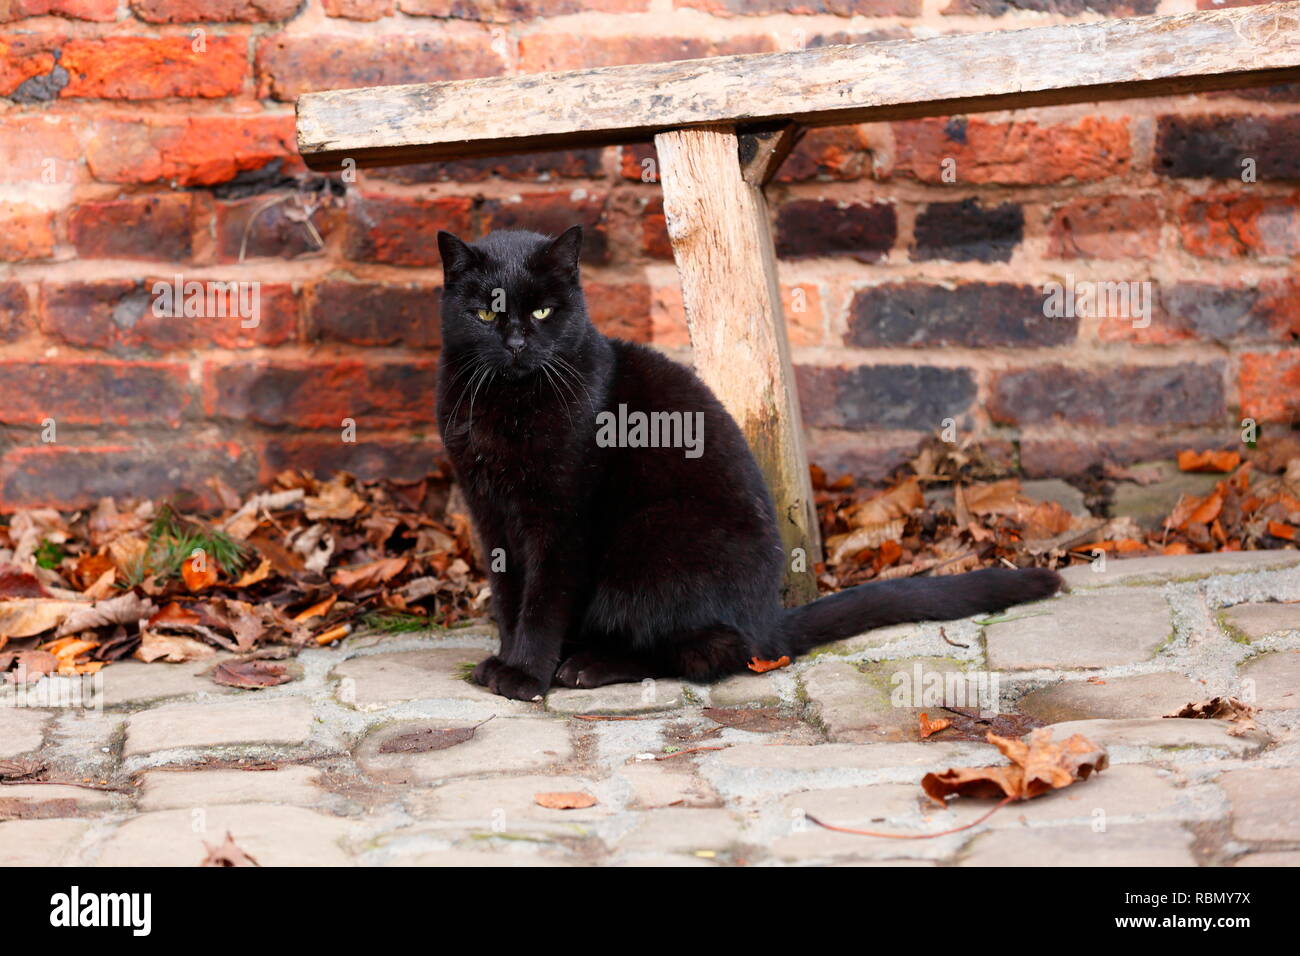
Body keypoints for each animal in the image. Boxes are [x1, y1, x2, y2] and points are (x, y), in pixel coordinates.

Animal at [436, 227, 1066, 697]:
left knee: (707, 651)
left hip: (653, 541)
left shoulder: (563, 517)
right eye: (486, 315)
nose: (517, 343)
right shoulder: (489, 512)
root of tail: (769, 619)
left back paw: (589, 665)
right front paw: (504, 660)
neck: (508, 406)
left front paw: (525, 674)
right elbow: (508, 595)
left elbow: (543, 600)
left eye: (543, 311)